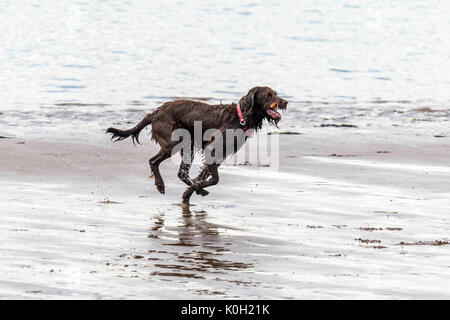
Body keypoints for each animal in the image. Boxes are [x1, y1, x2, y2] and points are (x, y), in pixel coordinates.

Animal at [107, 85, 286, 205]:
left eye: (276, 94)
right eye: (269, 95)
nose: (285, 102)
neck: (240, 117)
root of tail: (156, 112)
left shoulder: (220, 154)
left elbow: (203, 176)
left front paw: (190, 193)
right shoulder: (212, 149)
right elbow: (215, 179)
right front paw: (195, 190)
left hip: (188, 146)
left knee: (181, 173)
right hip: (174, 142)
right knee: (154, 161)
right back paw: (160, 185)